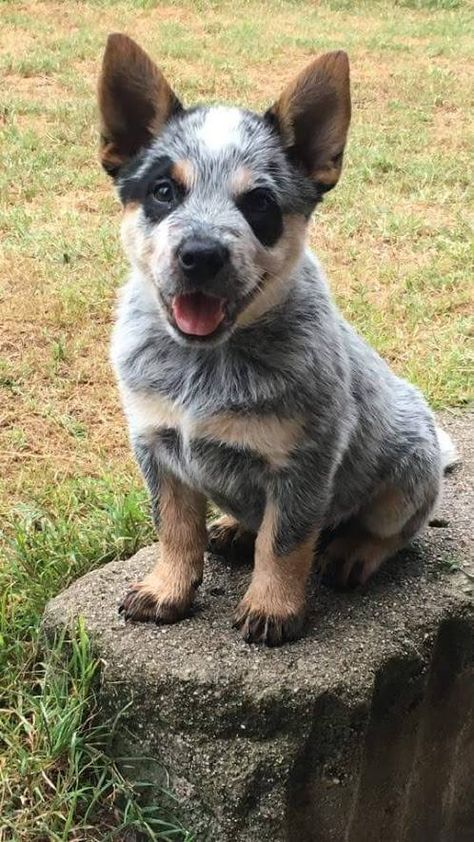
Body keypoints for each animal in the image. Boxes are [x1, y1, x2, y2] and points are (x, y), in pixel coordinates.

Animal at [98, 32, 458, 644]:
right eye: (164, 191)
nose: (201, 255)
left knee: (391, 532)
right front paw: (167, 588)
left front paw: (272, 606)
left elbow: (285, 542)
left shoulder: (303, 462)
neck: (206, 363)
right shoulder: (156, 445)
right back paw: (232, 526)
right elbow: (174, 527)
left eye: (260, 204)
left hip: (408, 473)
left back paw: (353, 552)